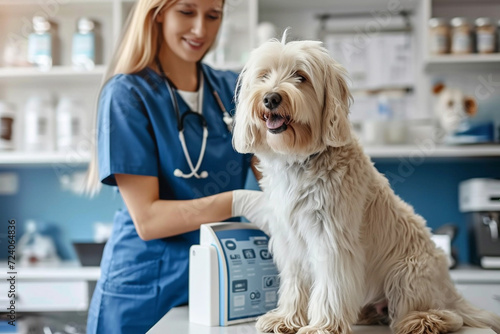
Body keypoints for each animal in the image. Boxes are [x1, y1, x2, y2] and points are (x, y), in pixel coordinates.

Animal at [232, 36, 500, 334]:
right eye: (264, 76)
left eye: (300, 77)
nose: (270, 98)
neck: (300, 160)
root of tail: (450, 290)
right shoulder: (290, 242)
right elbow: (295, 285)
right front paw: (287, 318)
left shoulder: (332, 241)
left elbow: (330, 288)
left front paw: (322, 325)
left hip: (408, 272)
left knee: (447, 316)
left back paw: (422, 320)